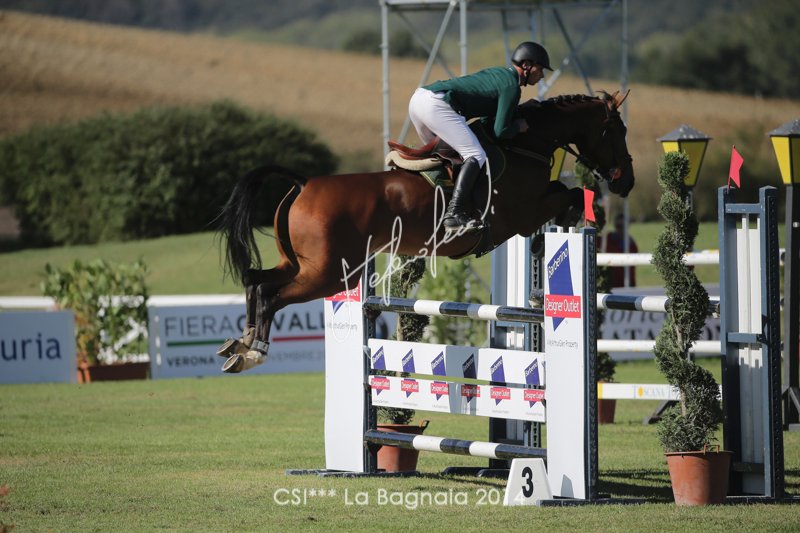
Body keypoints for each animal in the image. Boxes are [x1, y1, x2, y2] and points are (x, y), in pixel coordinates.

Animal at [217, 90, 634, 373]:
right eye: (617, 129)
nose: (626, 181)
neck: (526, 143)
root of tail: (304, 183)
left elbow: (565, 193)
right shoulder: (522, 215)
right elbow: (569, 194)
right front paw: (555, 231)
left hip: (302, 263)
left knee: (255, 279)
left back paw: (239, 344)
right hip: (328, 272)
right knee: (270, 294)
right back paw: (254, 351)